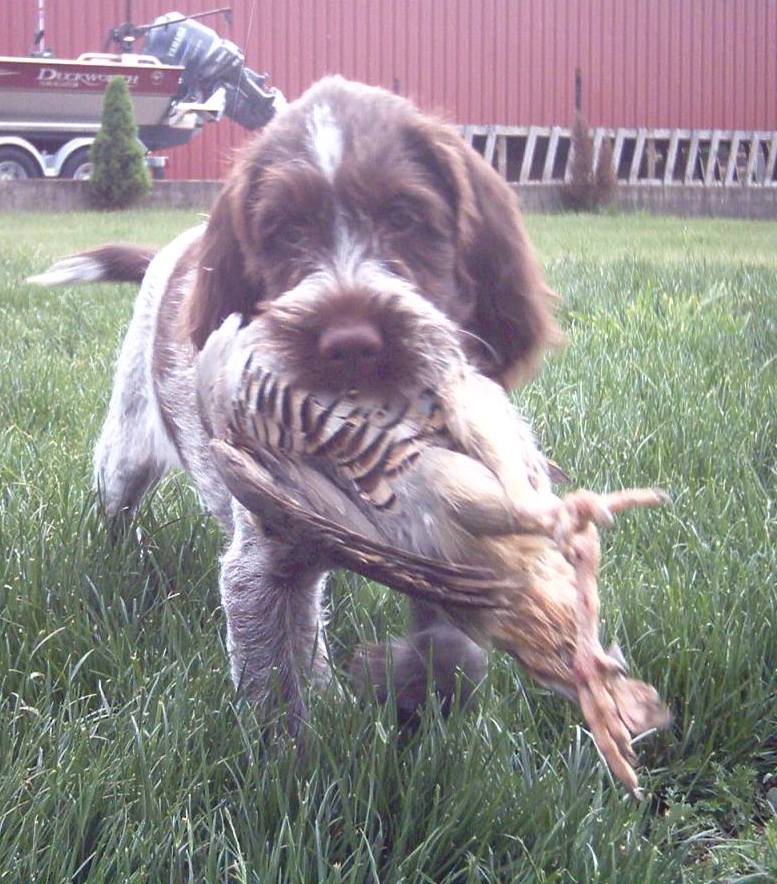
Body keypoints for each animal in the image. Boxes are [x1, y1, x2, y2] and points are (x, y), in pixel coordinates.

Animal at [31, 74, 556, 724]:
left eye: (404, 217)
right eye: (285, 232)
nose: (350, 342)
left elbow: (448, 640)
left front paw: (415, 696)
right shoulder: (262, 565)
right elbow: (278, 702)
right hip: (126, 447)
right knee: (117, 503)